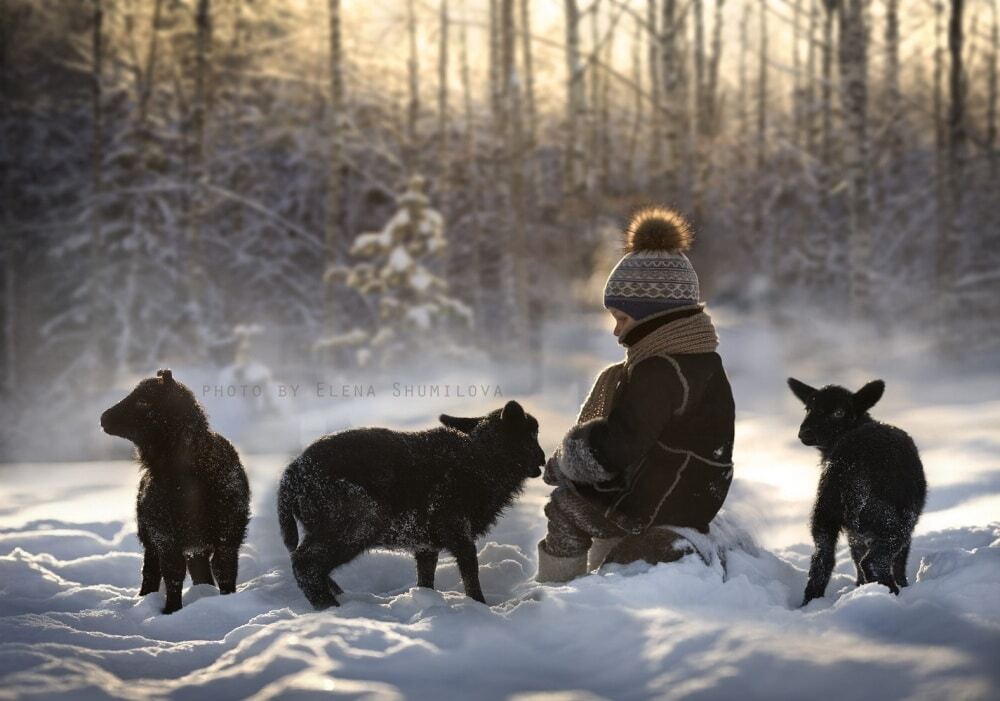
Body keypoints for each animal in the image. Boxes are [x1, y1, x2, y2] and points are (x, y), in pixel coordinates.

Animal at [99, 366, 252, 612]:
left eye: (143, 401)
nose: (103, 418)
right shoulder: (164, 535)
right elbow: (172, 573)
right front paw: (172, 610)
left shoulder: (229, 533)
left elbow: (225, 569)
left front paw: (227, 601)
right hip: (150, 536)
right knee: (151, 570)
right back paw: (145, 598)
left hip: (196, 541)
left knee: (199, 569)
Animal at [280, 400, 548, 608]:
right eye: (531, 435)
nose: (544, 458)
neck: (483, 459)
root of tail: (291, 476)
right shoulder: (455, 526)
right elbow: (470, 570)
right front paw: (480, 607)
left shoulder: (425, 542)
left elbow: (426, 579)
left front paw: (427, 602)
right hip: (356, 520)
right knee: (305, 564)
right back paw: (330, 607)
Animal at [784, 380, 924, 604]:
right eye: (808, 408)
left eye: (839, 412)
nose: (804, 433)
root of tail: (847, 467)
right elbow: (900, 561)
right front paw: (903, 584)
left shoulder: (853, 534)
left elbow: (855, 556)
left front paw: (859, 585)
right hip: (890, 519)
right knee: (874, 561)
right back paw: (891, 593)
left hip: (825, 512)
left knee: (822, 560)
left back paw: (810, 603)